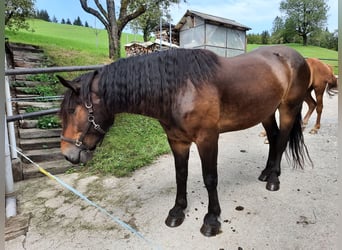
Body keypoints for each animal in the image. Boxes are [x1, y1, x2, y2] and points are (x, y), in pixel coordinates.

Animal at [58, 46, 312, 236]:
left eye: (72, 111)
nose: (67, 154)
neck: (180, 89)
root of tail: (298, 57)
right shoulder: (177, 140)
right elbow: (181, 175)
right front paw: (177, 211)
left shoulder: (208, 138)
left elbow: (210, 178)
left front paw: (211, 220)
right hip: (265, 111)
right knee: (274, 137)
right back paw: (266, 173)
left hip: (288, 108)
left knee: (282, 140)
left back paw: (274, 179)